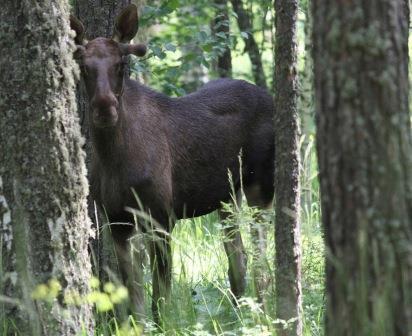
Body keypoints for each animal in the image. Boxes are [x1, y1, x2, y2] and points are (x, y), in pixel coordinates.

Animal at [70, 3, 274, 322]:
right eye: (84, 66)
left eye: (120, 65)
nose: (105, 109)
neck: (114, 157)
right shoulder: (117, 220)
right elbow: (136, 301)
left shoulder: (162, 217)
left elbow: (160, 299)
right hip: (228, 196)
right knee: (237, 257)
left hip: (261, 187)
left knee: (261, 258)